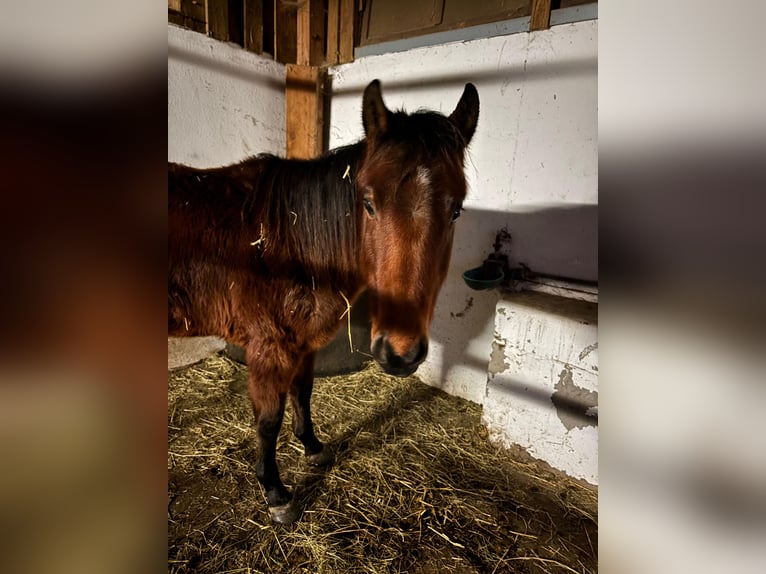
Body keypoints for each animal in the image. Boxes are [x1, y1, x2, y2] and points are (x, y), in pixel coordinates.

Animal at [169, 81, 480, 528]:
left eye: (456, 210)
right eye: (368, 203)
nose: (400, 353)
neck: (290, 242)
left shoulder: (303, 343)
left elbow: (303, 392)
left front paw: (313, 447)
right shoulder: (268, 348)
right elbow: (269, 420)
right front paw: (276, 492)